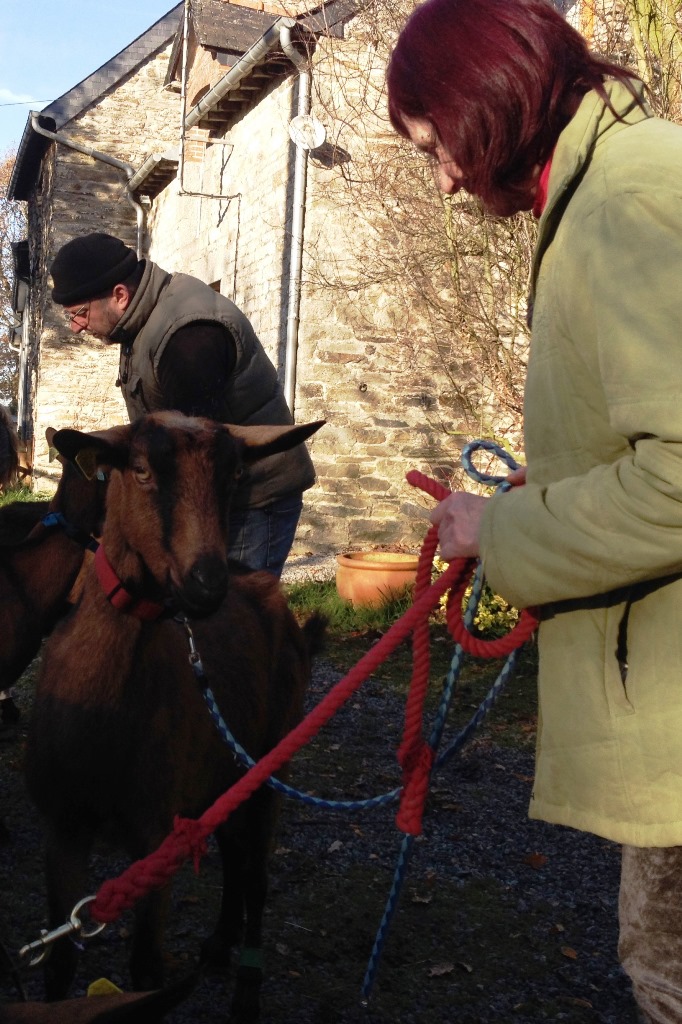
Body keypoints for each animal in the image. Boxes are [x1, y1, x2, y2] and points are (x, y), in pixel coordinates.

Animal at [25, 409, 323, 1024]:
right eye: (139, 469)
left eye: (235, 476)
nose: (207, 582)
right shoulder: (62, 825)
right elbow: (59, 961)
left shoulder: (153, 831)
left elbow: (145, 971)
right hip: (220, 771)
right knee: (233, 854)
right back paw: (218, 946)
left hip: (268, 757)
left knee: (256, 875)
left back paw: (246, 990)